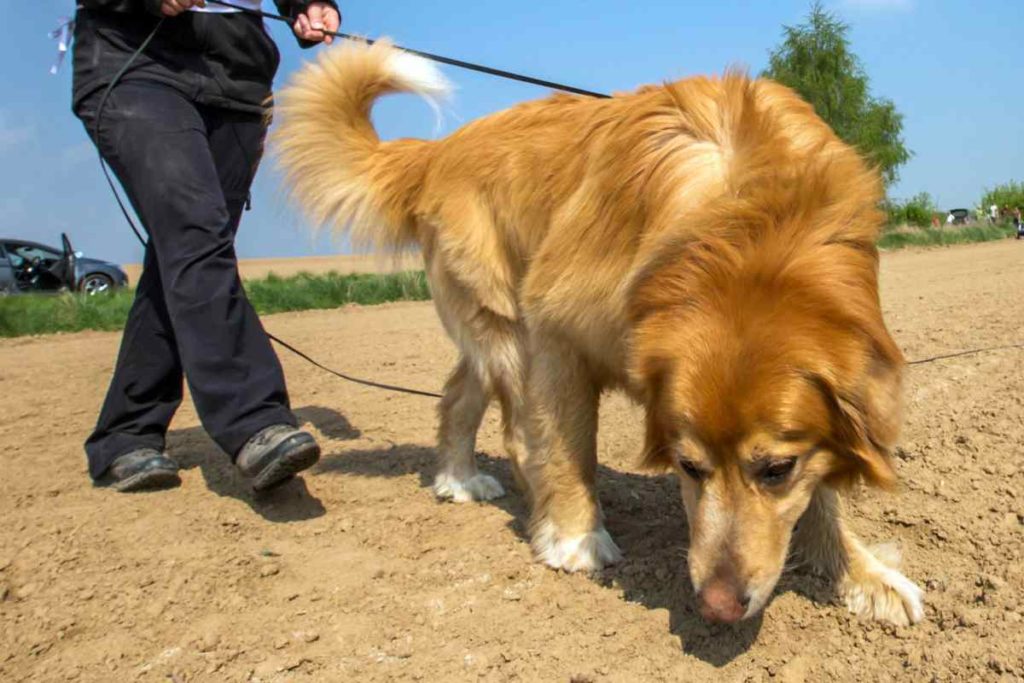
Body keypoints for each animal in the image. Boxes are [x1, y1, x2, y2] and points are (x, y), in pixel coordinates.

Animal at [276, 41, 925, 626]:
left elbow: (821, 492)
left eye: (777, 470)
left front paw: (861, 573)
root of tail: (439, 150)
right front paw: (575, 537)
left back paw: (459, 479)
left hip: (488, 330)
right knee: (518, 431)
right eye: (688, 468)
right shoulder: (555, 330)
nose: (716, 607)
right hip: (507, 326)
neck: (751, 232)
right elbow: (570, 448)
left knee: (458, 394)